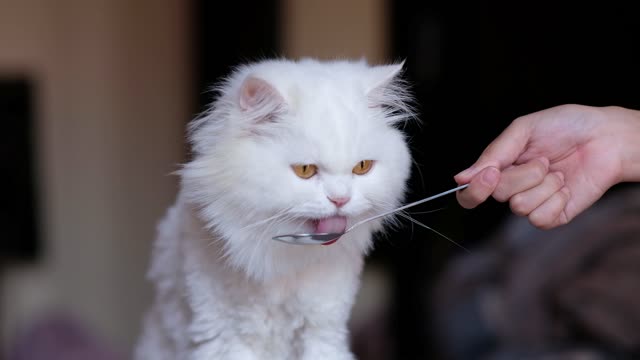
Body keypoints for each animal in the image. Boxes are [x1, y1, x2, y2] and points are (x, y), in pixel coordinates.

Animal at [135, 57, 416, 358]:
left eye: (362, 167)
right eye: (305, 170)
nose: (340, 199)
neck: (282, 266)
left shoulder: (323, 330)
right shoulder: (223, 337)